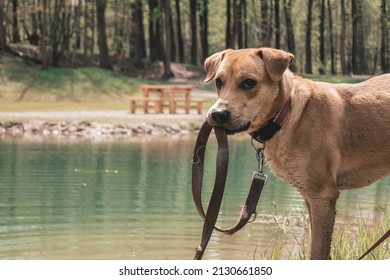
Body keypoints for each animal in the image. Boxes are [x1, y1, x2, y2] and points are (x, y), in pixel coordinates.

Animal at [204, 47, 390, 260]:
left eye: (248, 83)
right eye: (219, 82)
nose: (217, 114)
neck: (287, 114)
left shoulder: (322, 197)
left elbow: (317, 252)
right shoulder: (311, 199)